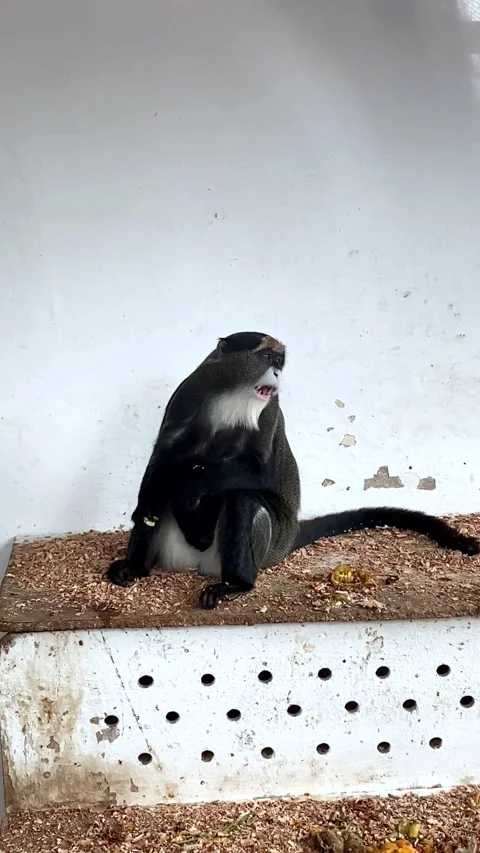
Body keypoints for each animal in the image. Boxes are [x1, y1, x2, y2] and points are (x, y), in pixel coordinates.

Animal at [107, 331, 479, 609]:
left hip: (264, 545)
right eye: (267, 358)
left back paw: (235, 584)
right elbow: (164, 458)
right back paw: (135, 568)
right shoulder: (189, 393)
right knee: (164, 488)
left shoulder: (269, 410)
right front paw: (152, 505)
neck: (233, 395)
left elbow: (259, 473)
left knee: (242, 498)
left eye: (279, 361)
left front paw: (193, 486)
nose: (276, 375)